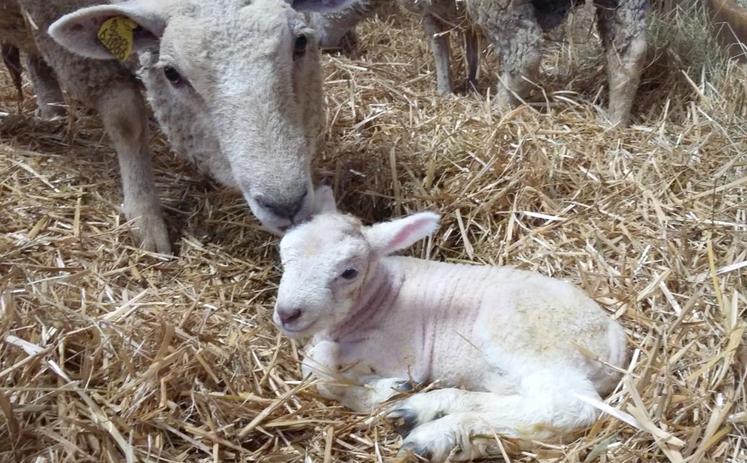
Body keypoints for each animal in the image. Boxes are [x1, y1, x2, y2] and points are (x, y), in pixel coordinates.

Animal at [272, 187, 628, 462]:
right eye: (283, 256)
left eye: (349, 272)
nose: (287, 313)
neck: (378, 296)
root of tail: (615, 339)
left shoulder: (398, 352)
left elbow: (316, 366)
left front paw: (383, 389)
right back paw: (427, 410)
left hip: (528, 339)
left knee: (569, 407)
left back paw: (437, 434)